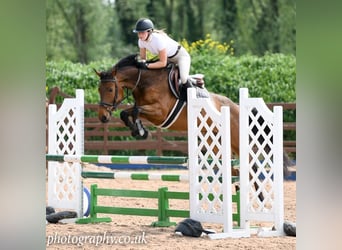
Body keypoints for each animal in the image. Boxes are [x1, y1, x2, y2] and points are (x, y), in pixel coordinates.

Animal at [95, 53, 290, 200]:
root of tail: (236, 107)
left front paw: (141, 131)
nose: (103, 117)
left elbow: (134, 110)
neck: (145, 82)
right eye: (99, 90)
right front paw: (139, 130)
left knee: (252, 164)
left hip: (236, 140)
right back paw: (241, 187)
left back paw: (260, 196)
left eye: (110, 90)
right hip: (215, 142)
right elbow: (127, 113)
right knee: (237, 167)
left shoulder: (160, 113)